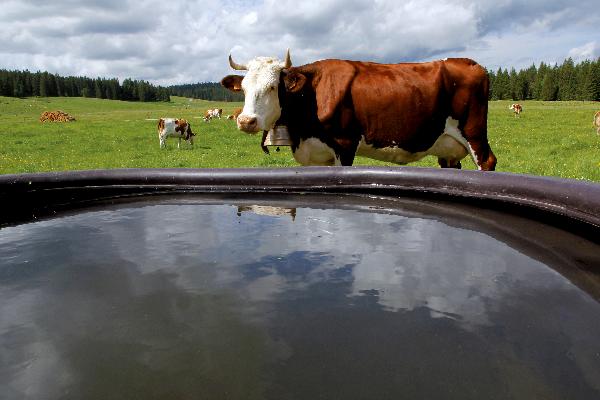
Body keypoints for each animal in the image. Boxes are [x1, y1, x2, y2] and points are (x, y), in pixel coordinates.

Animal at [220, 49, 496, 170]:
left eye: (272, 87)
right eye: (243, 88)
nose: (246, 121)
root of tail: (469, 63)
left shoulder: (345, 144)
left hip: (473, 132)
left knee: (487, 161)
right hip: (448, 146)